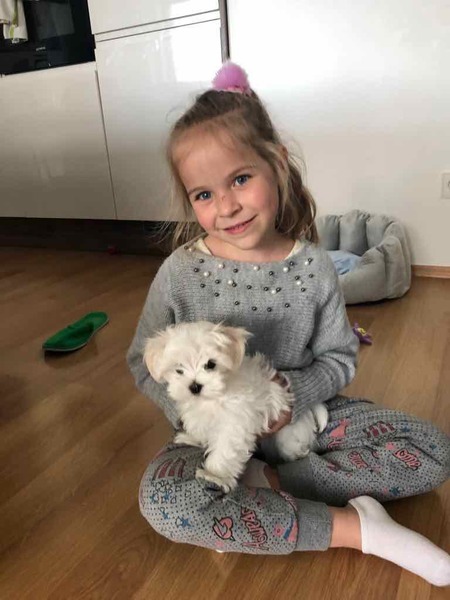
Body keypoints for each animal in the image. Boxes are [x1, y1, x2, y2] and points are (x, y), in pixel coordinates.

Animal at [144, 321, 328, 492]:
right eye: (178, 369)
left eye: (210, 364)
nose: (194, 386)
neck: (213, 397)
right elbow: (201, 427)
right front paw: (193, 438)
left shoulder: (235, 423)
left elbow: (225, 449)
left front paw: (214, 475)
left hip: (289, 437)